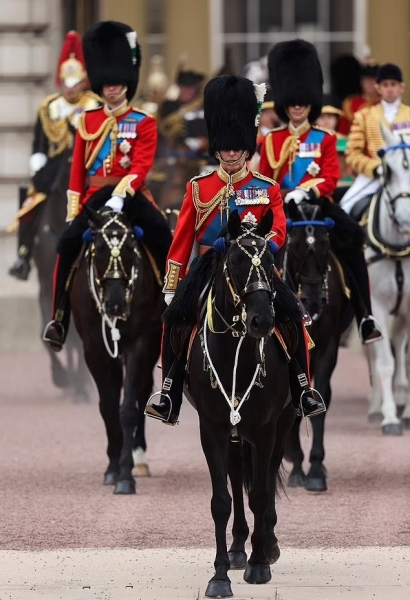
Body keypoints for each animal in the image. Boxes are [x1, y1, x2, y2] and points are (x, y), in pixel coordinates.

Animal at [70, 203, 164, 493]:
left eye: (131, 247)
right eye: (99, 248)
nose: (115, 305)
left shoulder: (139, 343)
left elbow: (128, 408)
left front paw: (125, 475)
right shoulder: (94, 349)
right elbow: (108, 406)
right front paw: (113, 468)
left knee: (142, 390)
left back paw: (138, 458)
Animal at [183, 210, 295, 597]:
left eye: (271, 261)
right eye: (234, 261)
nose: (262, 320)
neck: (234, 347)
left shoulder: (265, 429)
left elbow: (260, 493)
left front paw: (259, 564)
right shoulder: (212, 428)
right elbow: (221, 501)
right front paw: (219, 576)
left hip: (282, 424)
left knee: (267, 477)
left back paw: (268, 544)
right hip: (233, 434)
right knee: (235, 477)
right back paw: (236, 548)